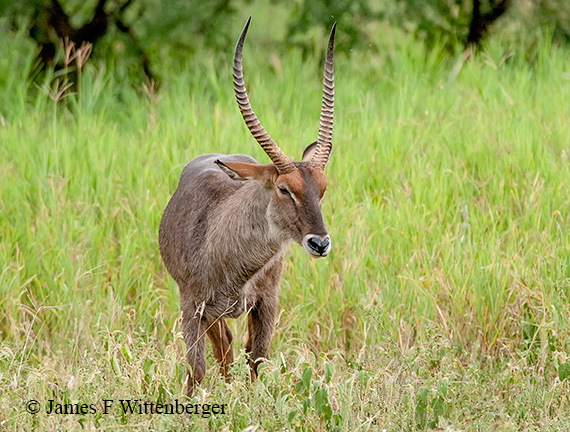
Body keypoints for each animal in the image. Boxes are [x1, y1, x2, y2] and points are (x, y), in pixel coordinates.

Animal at [158, 17, 336, 394]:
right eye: (284, 188)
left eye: (322, 188)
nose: (320, 243)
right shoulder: (191, 305)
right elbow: (196, 369)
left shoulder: (267, 302)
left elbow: (258, 360)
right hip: (208, 313)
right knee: (221, 351)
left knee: (229, 350)